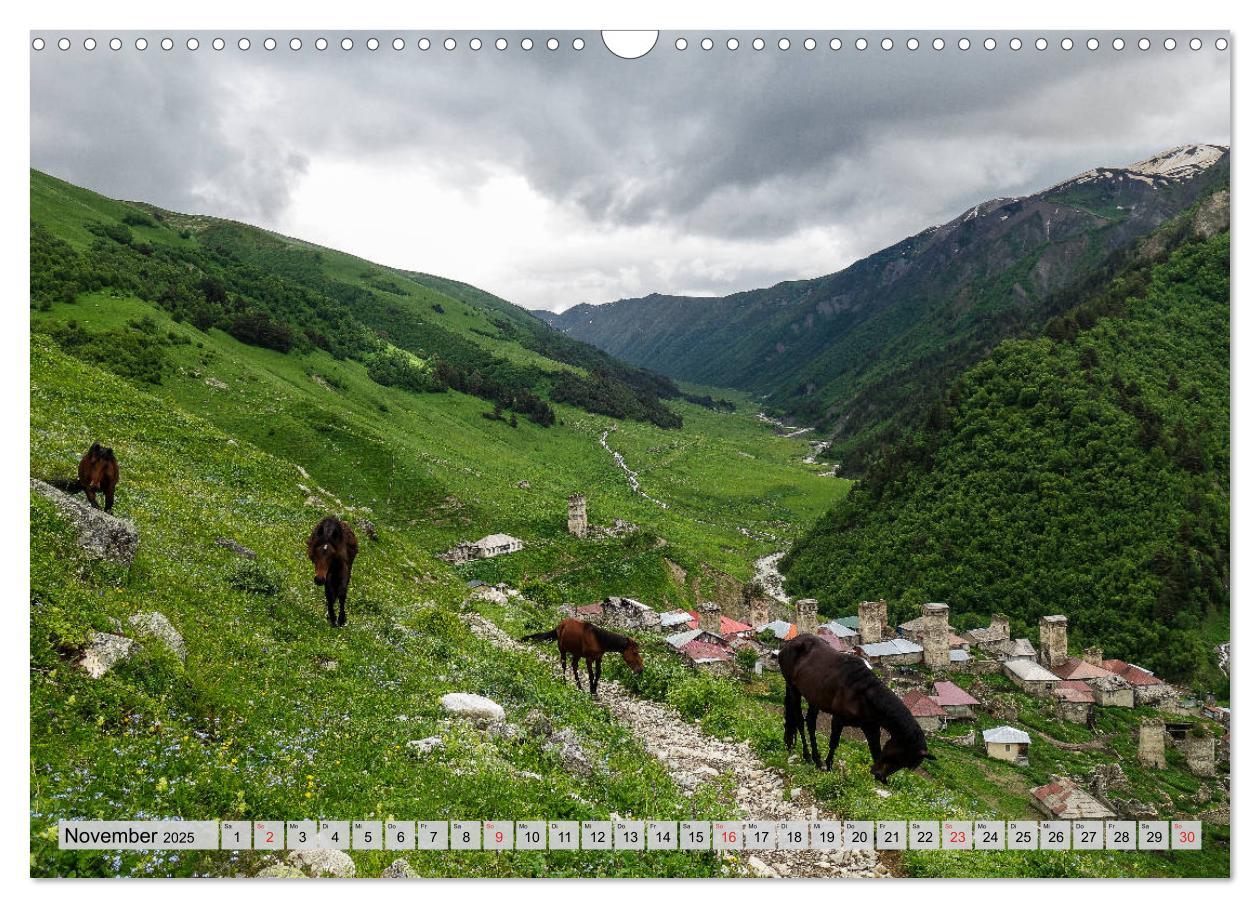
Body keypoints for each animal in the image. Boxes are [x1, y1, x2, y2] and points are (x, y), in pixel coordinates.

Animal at [776, 629, 937, 780]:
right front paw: (829, 767)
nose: (879, 774)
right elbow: (834, 742)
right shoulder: (838, 719)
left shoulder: (871, 728)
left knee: (810, 723)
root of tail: (789, 644)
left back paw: (816, 759)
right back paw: (807, 756)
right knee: (799, 720)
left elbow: (875, 750)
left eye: (905, 763)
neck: (863, 695)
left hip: (813, 697)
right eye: (899, 756)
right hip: (793, 689)